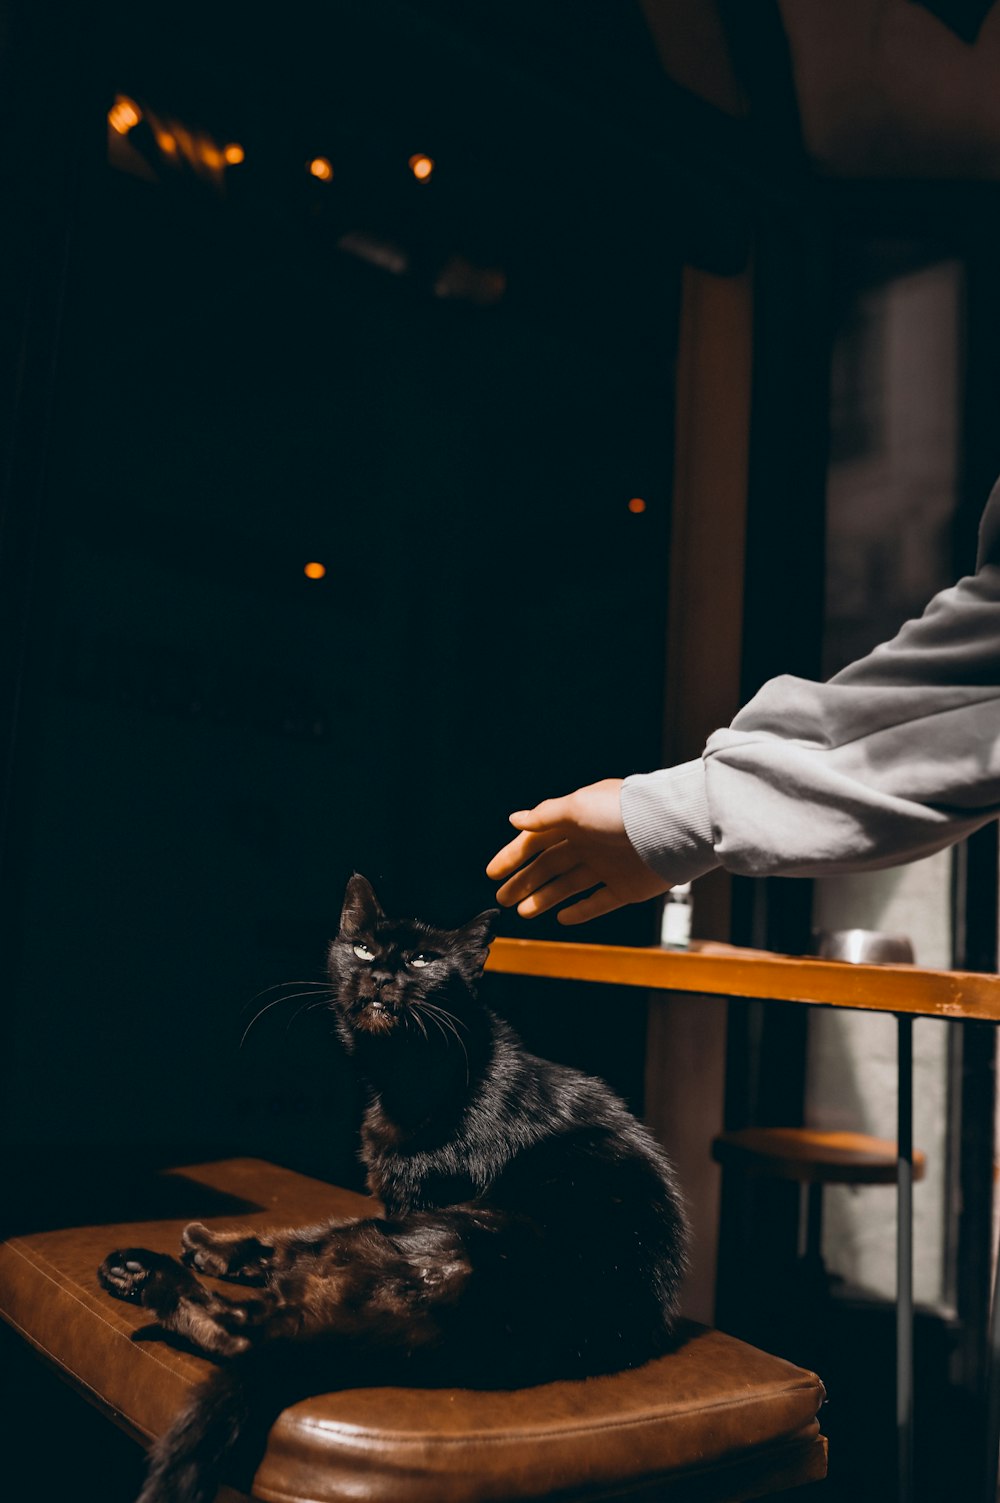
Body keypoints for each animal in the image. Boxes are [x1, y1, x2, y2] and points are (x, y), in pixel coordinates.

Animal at [101, 877, 691, 1503]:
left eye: (421, 959)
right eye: (362, 949)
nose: (382, 973)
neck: (408, 1077)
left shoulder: (413, 1199)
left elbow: (294, 1237)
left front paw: (204, 1246)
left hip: (413, 1229)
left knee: (258, 1322)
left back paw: (152, 1271)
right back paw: (146, 1274)